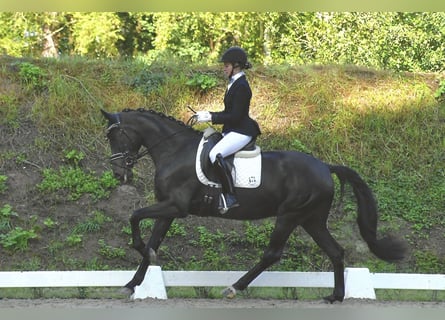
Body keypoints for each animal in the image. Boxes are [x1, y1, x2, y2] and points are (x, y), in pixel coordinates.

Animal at [100, 107, 406, 302]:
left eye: (115, 136)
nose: (118, 173)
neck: (175, 151)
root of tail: (325, 166)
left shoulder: (176, 207)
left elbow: (134, 216)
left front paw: (141, 259)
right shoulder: (168, 208)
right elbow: (152, 238)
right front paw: (131, 284)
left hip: (290, 215)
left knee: (272, 254)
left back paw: (234, 288)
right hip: (311, 219)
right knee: (336, 251)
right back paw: (335, 296)